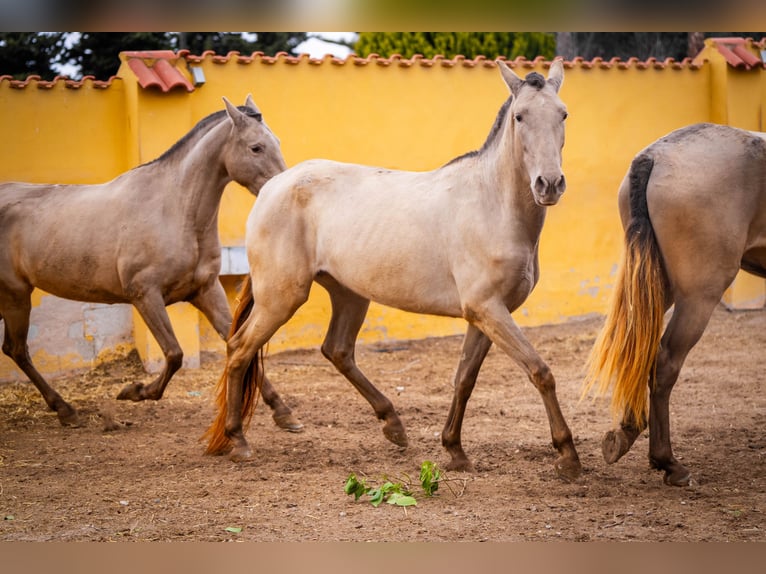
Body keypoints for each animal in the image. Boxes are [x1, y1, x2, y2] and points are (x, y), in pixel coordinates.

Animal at [0, 95, 301, 432]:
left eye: (276, 141)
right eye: (255, 147)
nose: (283, 189)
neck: (175, 208)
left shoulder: (206, 291)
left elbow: (236, 343)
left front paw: (283, 412)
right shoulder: (145, 295)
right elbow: (174, 354)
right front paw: (134, 391)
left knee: (13, 349)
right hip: (15, 295)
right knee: (17, 349)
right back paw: (66, 410)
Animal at [203, 59, 582, 481]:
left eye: (563, 114)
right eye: (520, 116)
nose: (549, 184)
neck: (491, 204)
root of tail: (272, 187)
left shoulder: (487, 315)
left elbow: (464, 379)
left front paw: (455, 451)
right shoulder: (488, 310)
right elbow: (540, 371)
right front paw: (568, 455)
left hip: (348, 293)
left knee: (337, 350)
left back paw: (394, 425)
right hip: (281, 297)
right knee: (239, 349)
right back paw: (238, 441)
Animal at [584, 123, 766, 486]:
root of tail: (655, 155)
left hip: (655, 282)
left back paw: (627, 432)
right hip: (698, 297)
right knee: (665, 361)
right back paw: (667, 462)